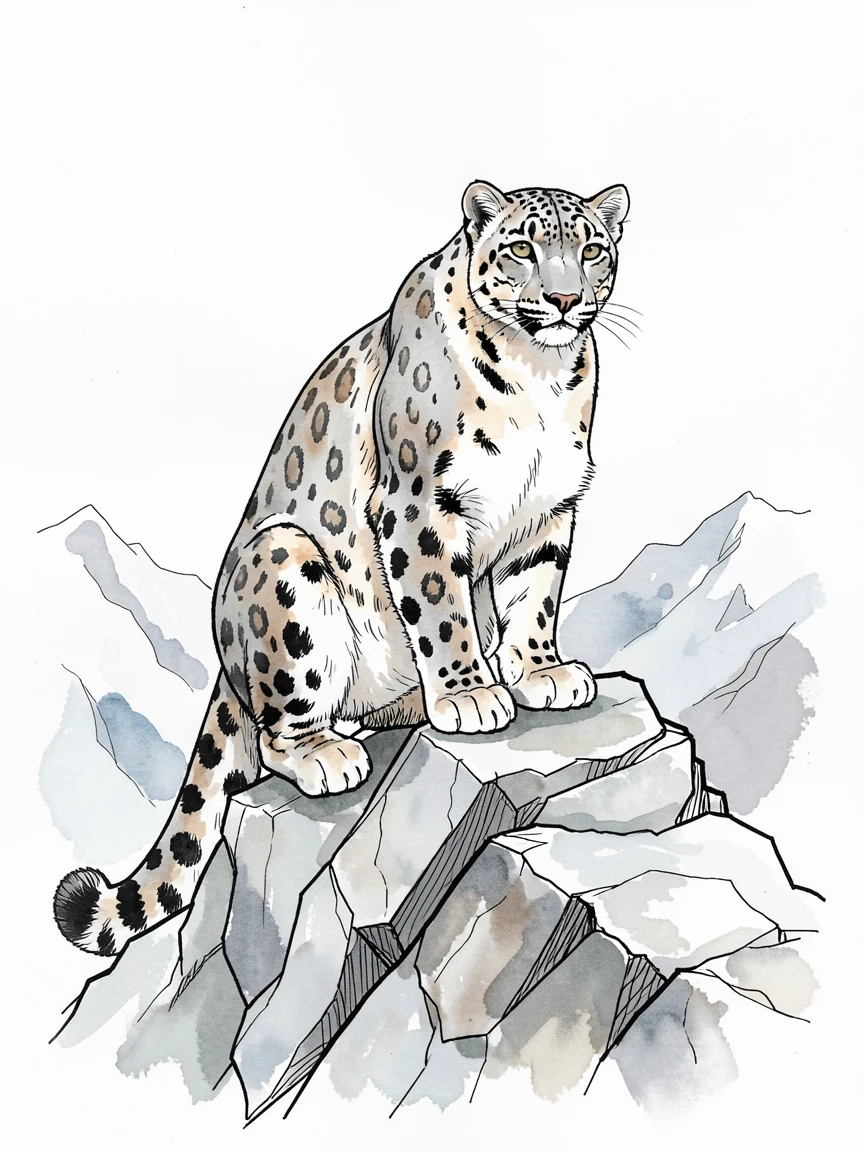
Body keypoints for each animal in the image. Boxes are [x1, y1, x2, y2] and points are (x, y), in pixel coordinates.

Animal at [54, 179, 629, 956]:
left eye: (591, 249)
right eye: (521, 249)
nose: (566, 299)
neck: (540, 376)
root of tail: (228, 667)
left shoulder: (548, 508)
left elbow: (534, 596)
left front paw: (541, 672)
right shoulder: (420, 502)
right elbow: (440, 609)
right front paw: (470, 694)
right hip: (285, 563)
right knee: (273, 733)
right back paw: (330, 752)